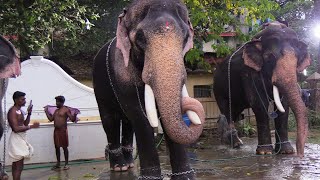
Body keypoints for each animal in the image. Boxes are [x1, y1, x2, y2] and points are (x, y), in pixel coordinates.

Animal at [92, 0, 206, 179]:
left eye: (186, 37)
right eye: (140, 37)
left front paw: (186, 177)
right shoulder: (121, 72)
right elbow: (139, 114)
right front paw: (151, 178)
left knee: (127, 122)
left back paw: (129, 164)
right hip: (99, 88)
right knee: (110, 120)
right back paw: (119, 167)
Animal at [212, 21, 310, 157]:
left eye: (297, 60)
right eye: (270, 57)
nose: (300, 155)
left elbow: (284, 105)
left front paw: (287, 151)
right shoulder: (248, 71)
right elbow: (259, 103)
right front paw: (265, 152)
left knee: (235, 113)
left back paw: (232, 142)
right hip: (218, 88)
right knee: (228, 112)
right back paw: (235, 144)